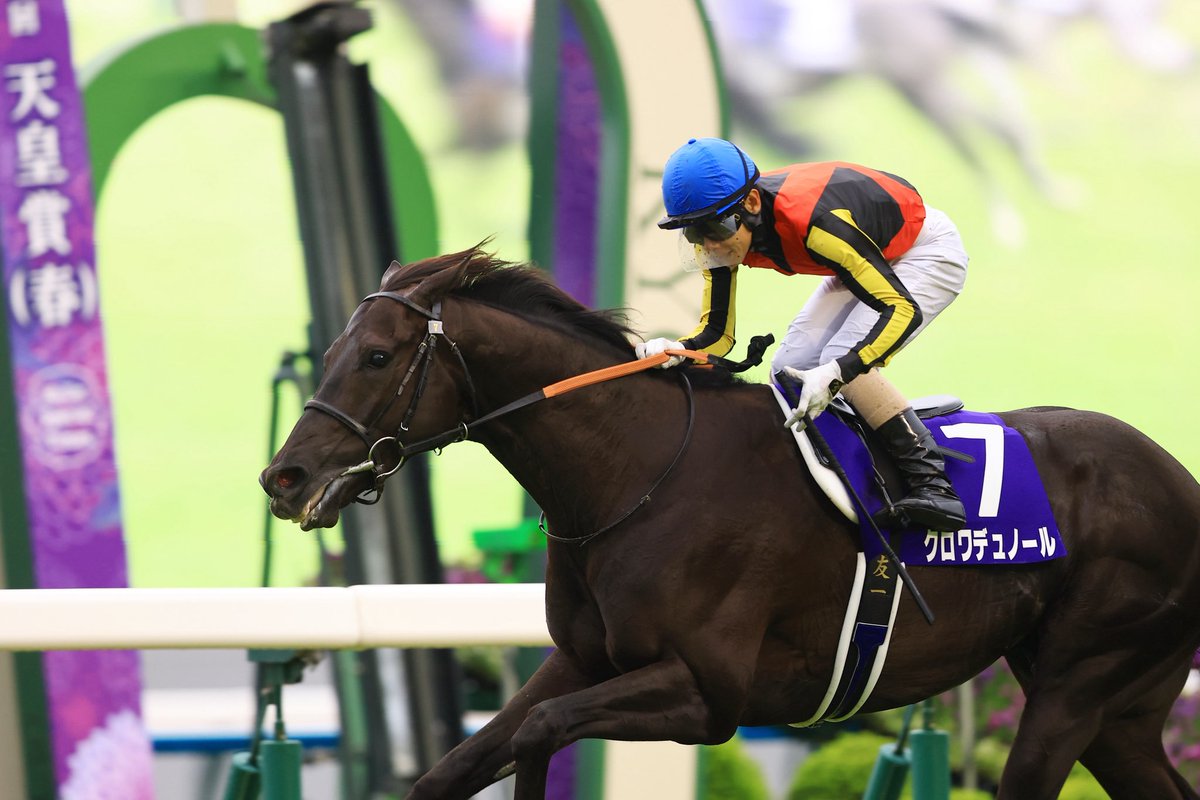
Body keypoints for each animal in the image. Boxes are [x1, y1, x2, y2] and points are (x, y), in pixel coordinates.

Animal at [260, 247, 1200, 800]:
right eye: (331, 350)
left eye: (377, 356)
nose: (284, 477)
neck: (636, 472)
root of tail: (1179, 479)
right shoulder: (583, 658)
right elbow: (461, 763)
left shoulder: (709, 693)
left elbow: (540, 730)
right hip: (1117, 710)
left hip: (1078, 683)